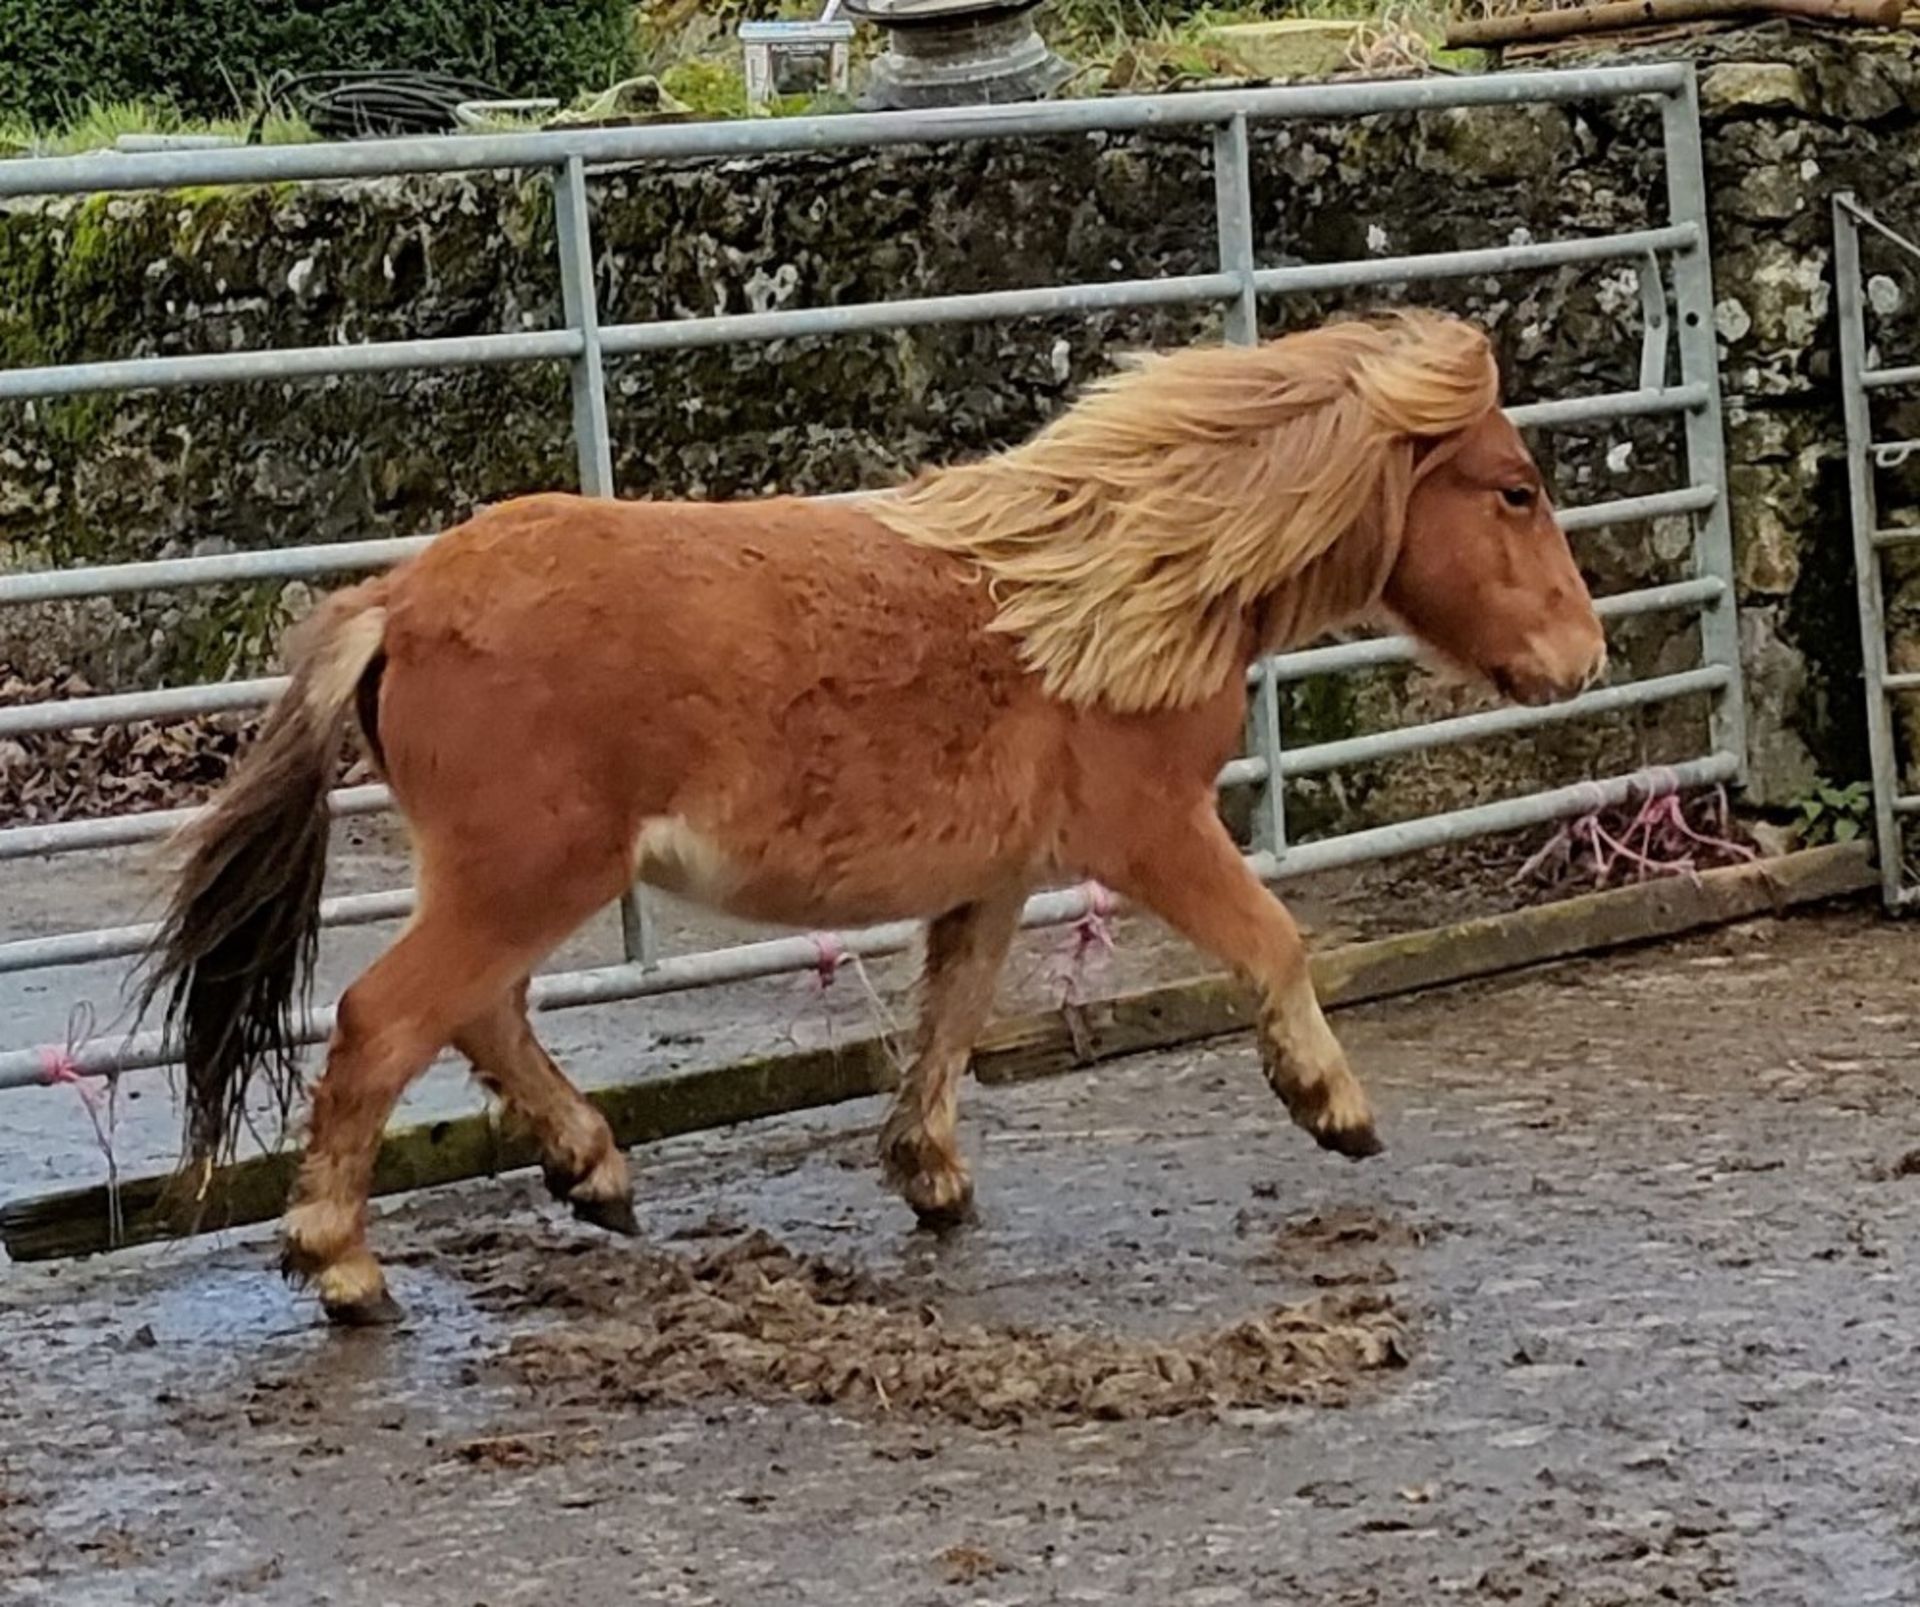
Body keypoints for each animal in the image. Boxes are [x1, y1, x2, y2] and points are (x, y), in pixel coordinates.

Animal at [139, 307, 1605, 1320]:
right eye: (1516, 489)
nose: (1583, 656)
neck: (1107, 589)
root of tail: (398, 600)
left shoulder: (996, 875)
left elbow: (952, 1018)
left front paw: (929, 1174)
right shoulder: (1150, 830)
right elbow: (1275, 941)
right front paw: (1330, 1104)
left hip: (516, 884)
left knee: (481, 1018)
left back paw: (593, 1172)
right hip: (525, 876)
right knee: (386, 1024)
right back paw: (342, 1267)